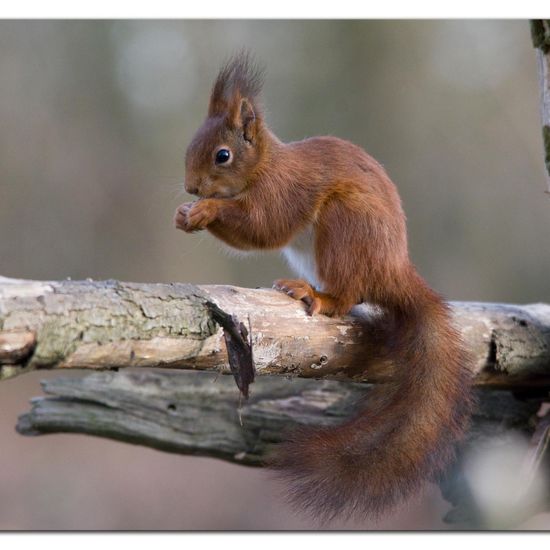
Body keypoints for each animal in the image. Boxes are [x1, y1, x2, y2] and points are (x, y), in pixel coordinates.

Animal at [175, 54, 476, 524]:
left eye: (223, 155)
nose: (191, 187)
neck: (264, 167)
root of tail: (393, 268)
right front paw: (184, 213)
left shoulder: (282, 193)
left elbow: (263, 226)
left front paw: (205, 210)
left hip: (344, 226)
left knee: (348, 297)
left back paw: (317, 295)